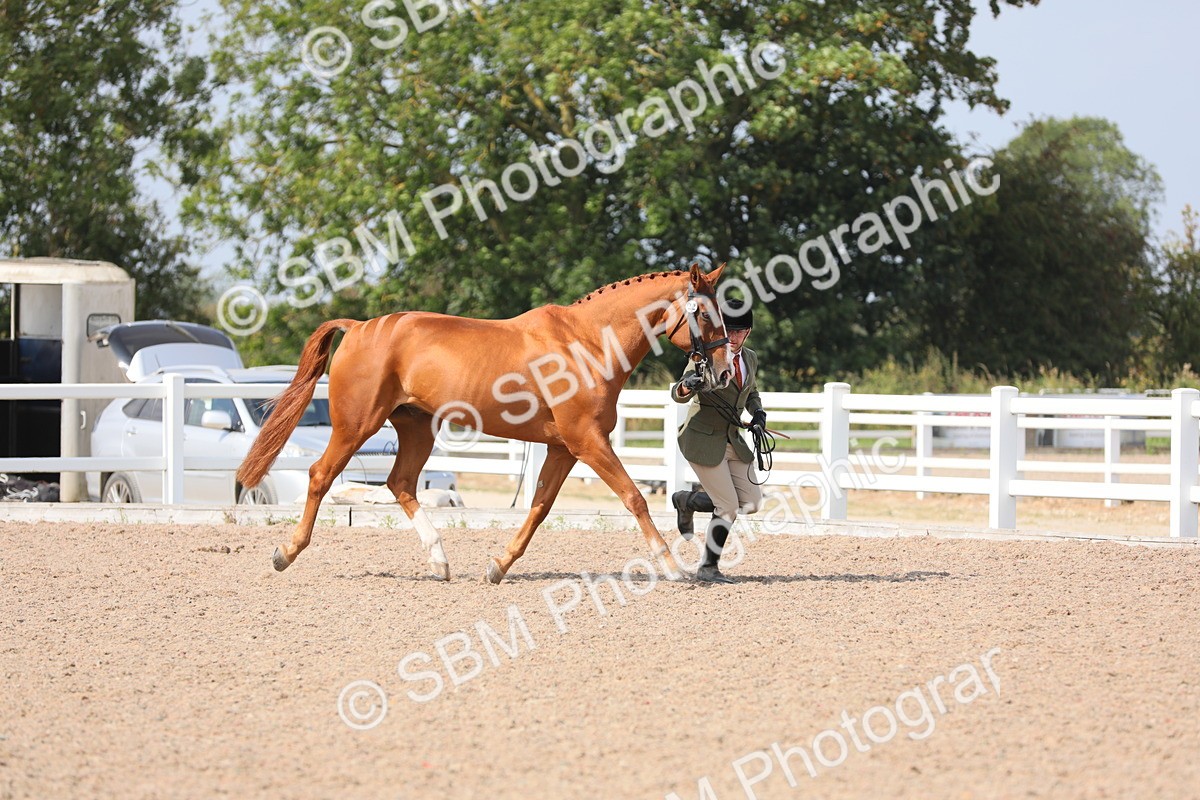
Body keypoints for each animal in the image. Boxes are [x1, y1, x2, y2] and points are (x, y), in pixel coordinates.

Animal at [236, 263, 734, 584]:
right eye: (708, 315)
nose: (724, 372)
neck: (588, 342)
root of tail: (358, 326)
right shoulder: (587, 441)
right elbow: (634, 498)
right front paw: (671, 566)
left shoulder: (563, 448)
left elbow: (539, 507)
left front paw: (498, 566)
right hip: (356, 425)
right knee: (321, 475)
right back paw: (285, 553)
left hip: (417, 427)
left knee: (400, 483)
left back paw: (440, 563)